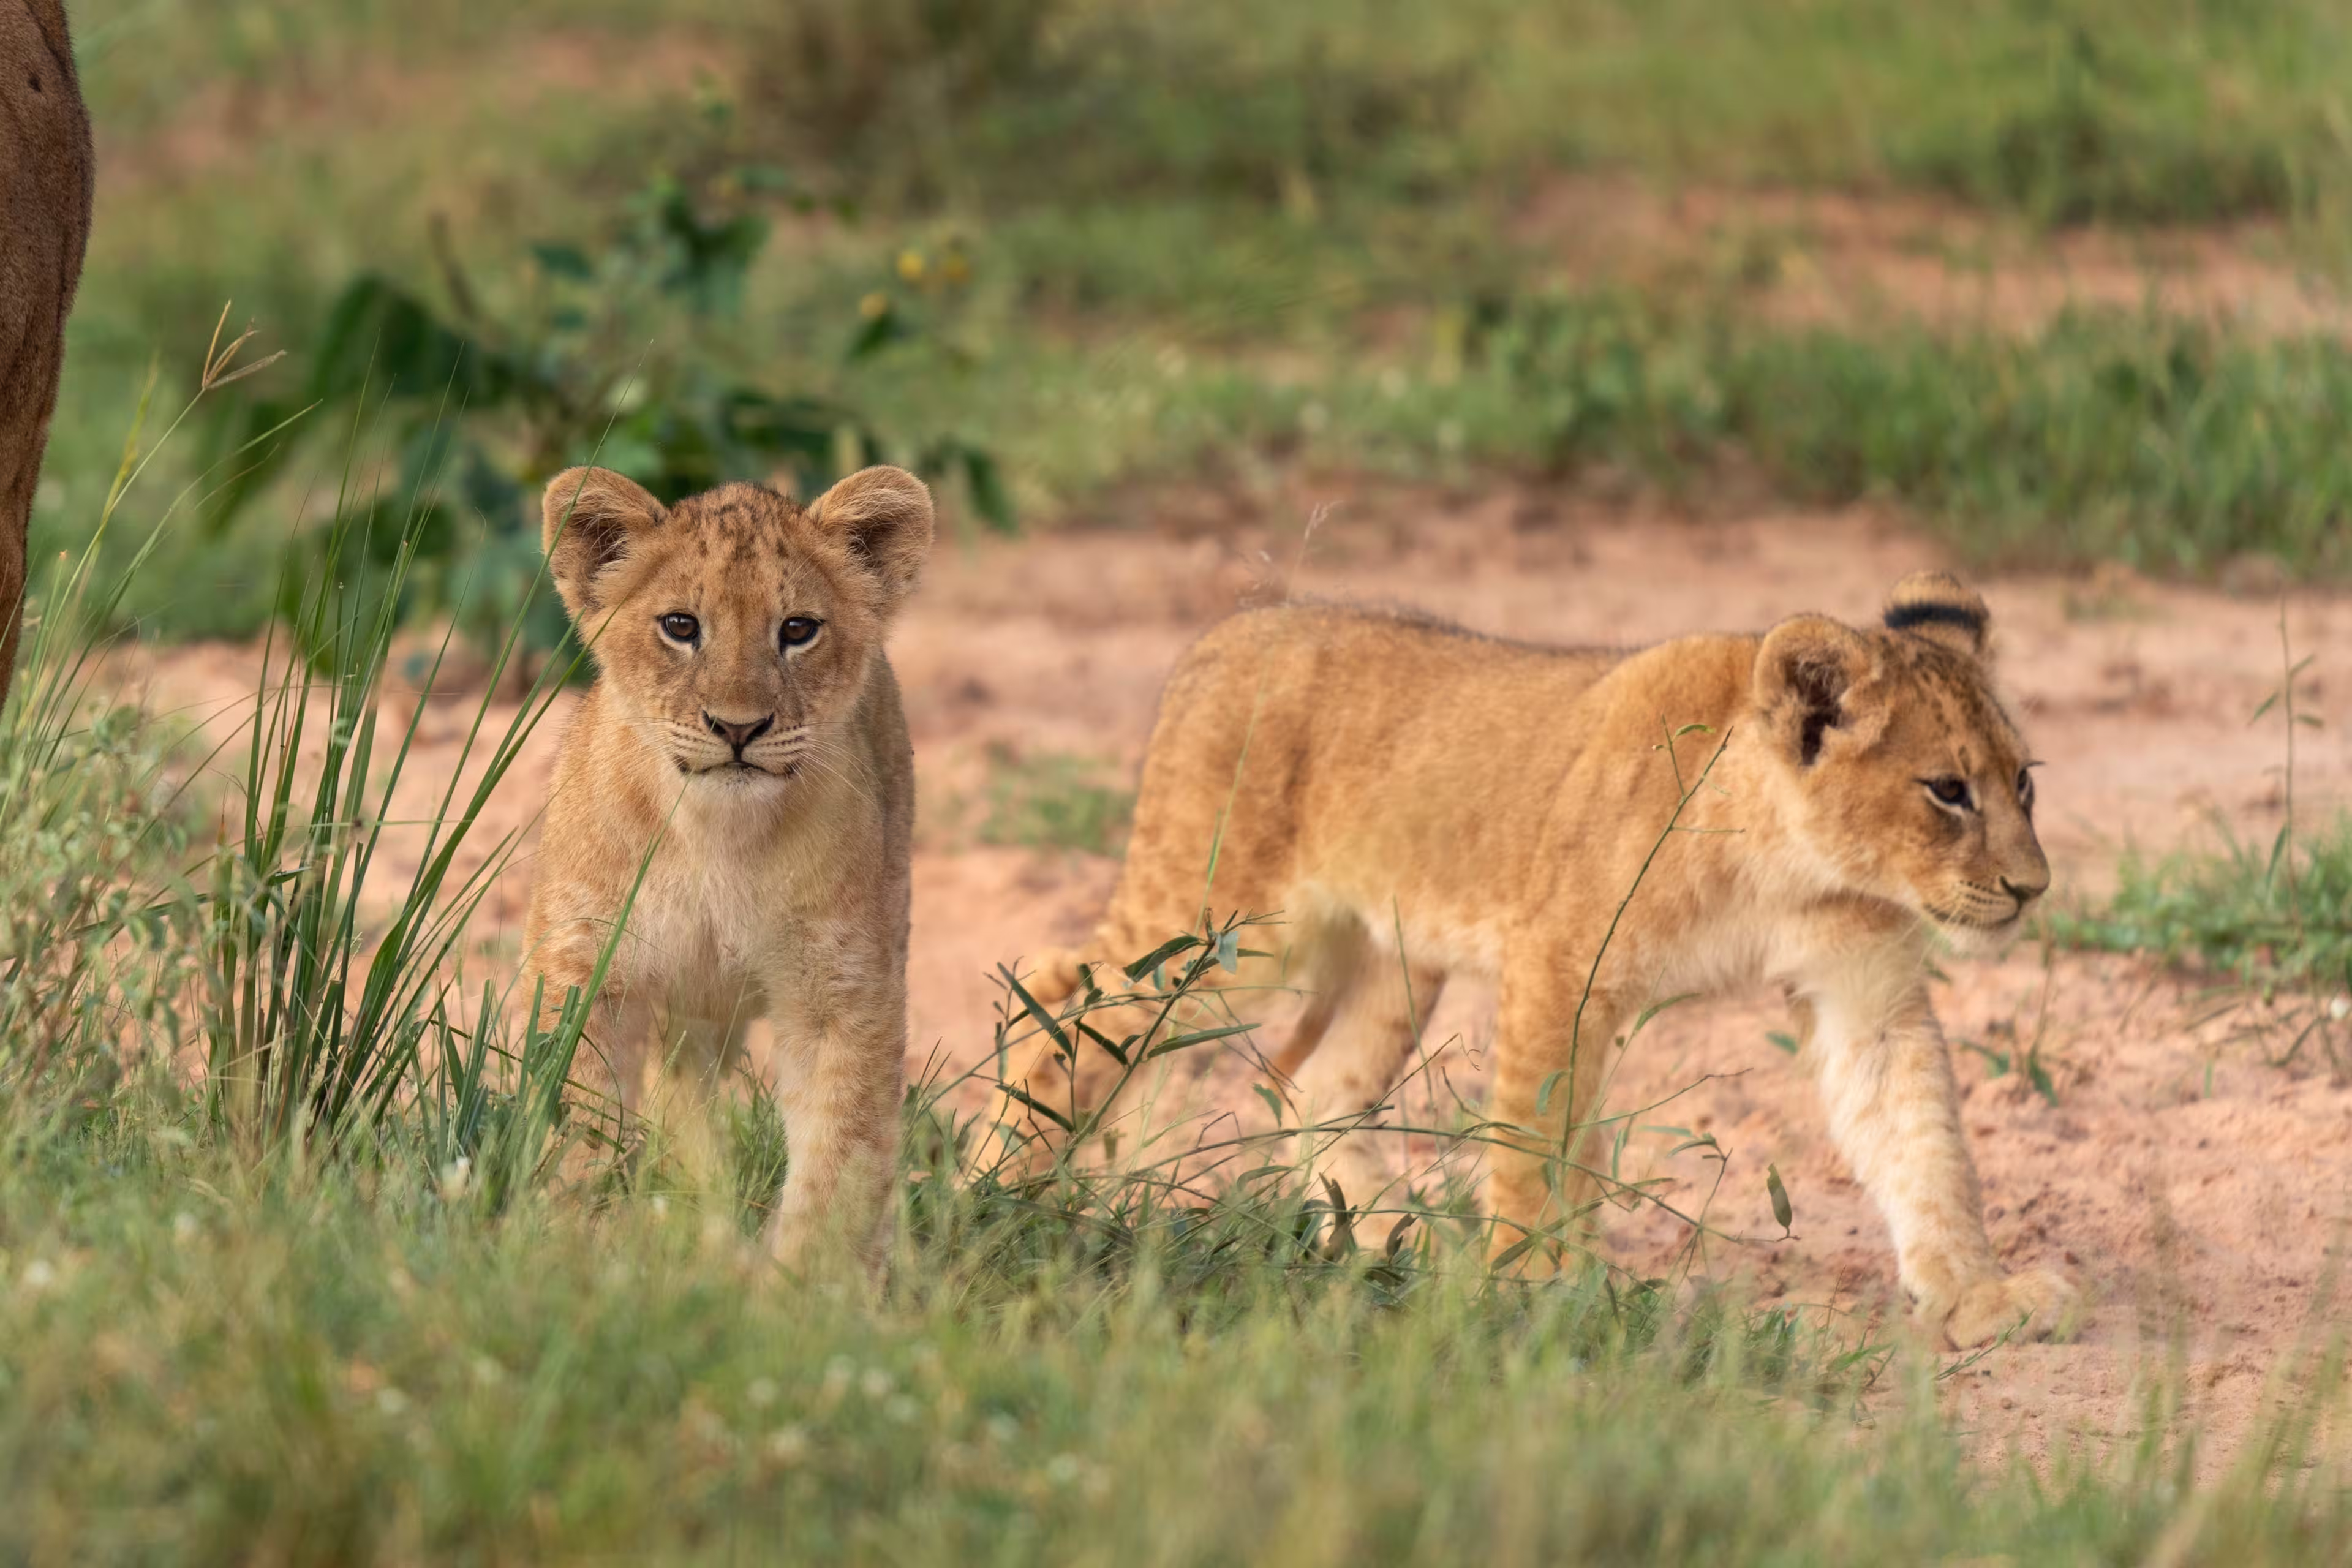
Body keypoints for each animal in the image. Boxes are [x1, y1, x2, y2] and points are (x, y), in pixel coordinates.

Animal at [520, 465, 932, 1279]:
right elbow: (577, 1113)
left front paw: (809, 1283)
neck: (717, 840)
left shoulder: (841, 991)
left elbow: (843, 1145)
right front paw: (581, 1248)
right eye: (681, 626)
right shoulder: (589, 964)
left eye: (798, 630)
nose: (739, 728)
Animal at [996, 571, 2076, 1347]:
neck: (1790, 868)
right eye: (1946, 791)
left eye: (2024, 782)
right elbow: (1534, 1141)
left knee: (1314, 1081)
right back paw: (997, 1199)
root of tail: (1226, 634)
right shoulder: (1561, 968)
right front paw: (1529, 1289)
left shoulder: (1867, 996)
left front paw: (1978, 1297)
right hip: (1219, 928)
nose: (2033, 888)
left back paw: (1392, 1240)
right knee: (1061, 992)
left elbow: (1925, 1143)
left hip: (1392, 958)